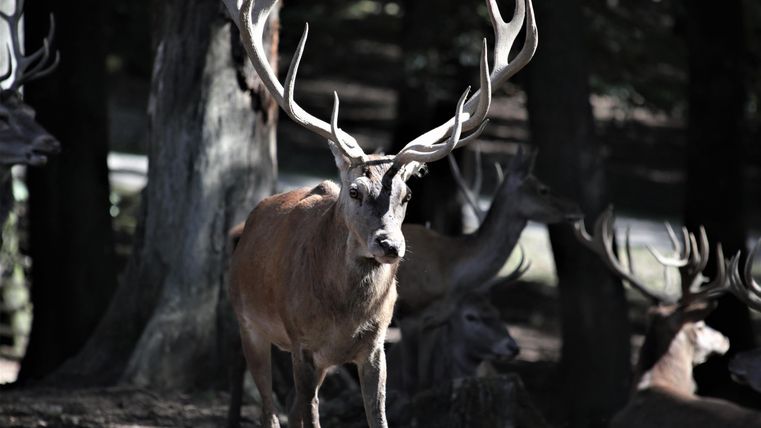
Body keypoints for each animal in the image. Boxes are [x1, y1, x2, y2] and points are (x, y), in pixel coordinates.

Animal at [221, 0, 538, 426]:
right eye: (355, 190)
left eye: (407, 194)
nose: (390, 245)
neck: (343, 316)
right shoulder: (301, 343)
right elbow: (308, 416)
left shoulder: (375, 347)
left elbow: (379, 416)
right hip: (249, 323)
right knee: (270, 410)